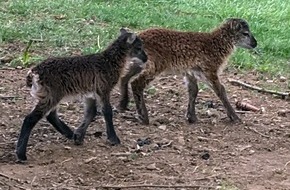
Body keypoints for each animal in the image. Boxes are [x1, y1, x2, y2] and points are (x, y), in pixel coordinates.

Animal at [15, 28, 147, 162]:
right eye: (139, 47)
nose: (146, 59)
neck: (110, 61)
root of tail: (34, 72)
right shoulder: (103, 89)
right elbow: (107, 112)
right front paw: (114, 139)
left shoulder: (90, 93)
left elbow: (91, 112)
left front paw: (78, 136)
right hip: (52, 94)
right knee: (31, 118)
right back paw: (21, 154)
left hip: (49, 94)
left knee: (51, 115)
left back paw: (69, 133)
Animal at [116, 17, 258, 124]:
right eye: (245, 33)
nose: (255, 43)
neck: (217, 44)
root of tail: (139, 37)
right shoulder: (209, 70)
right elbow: (221, 90)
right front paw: (235, 117)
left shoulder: (190, 72)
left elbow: (193, 90)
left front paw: (191, 117)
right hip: (155, 64)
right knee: (137, 83)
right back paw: (143, 117)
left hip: (139, 62)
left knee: (124, 78)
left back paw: (123, 104)